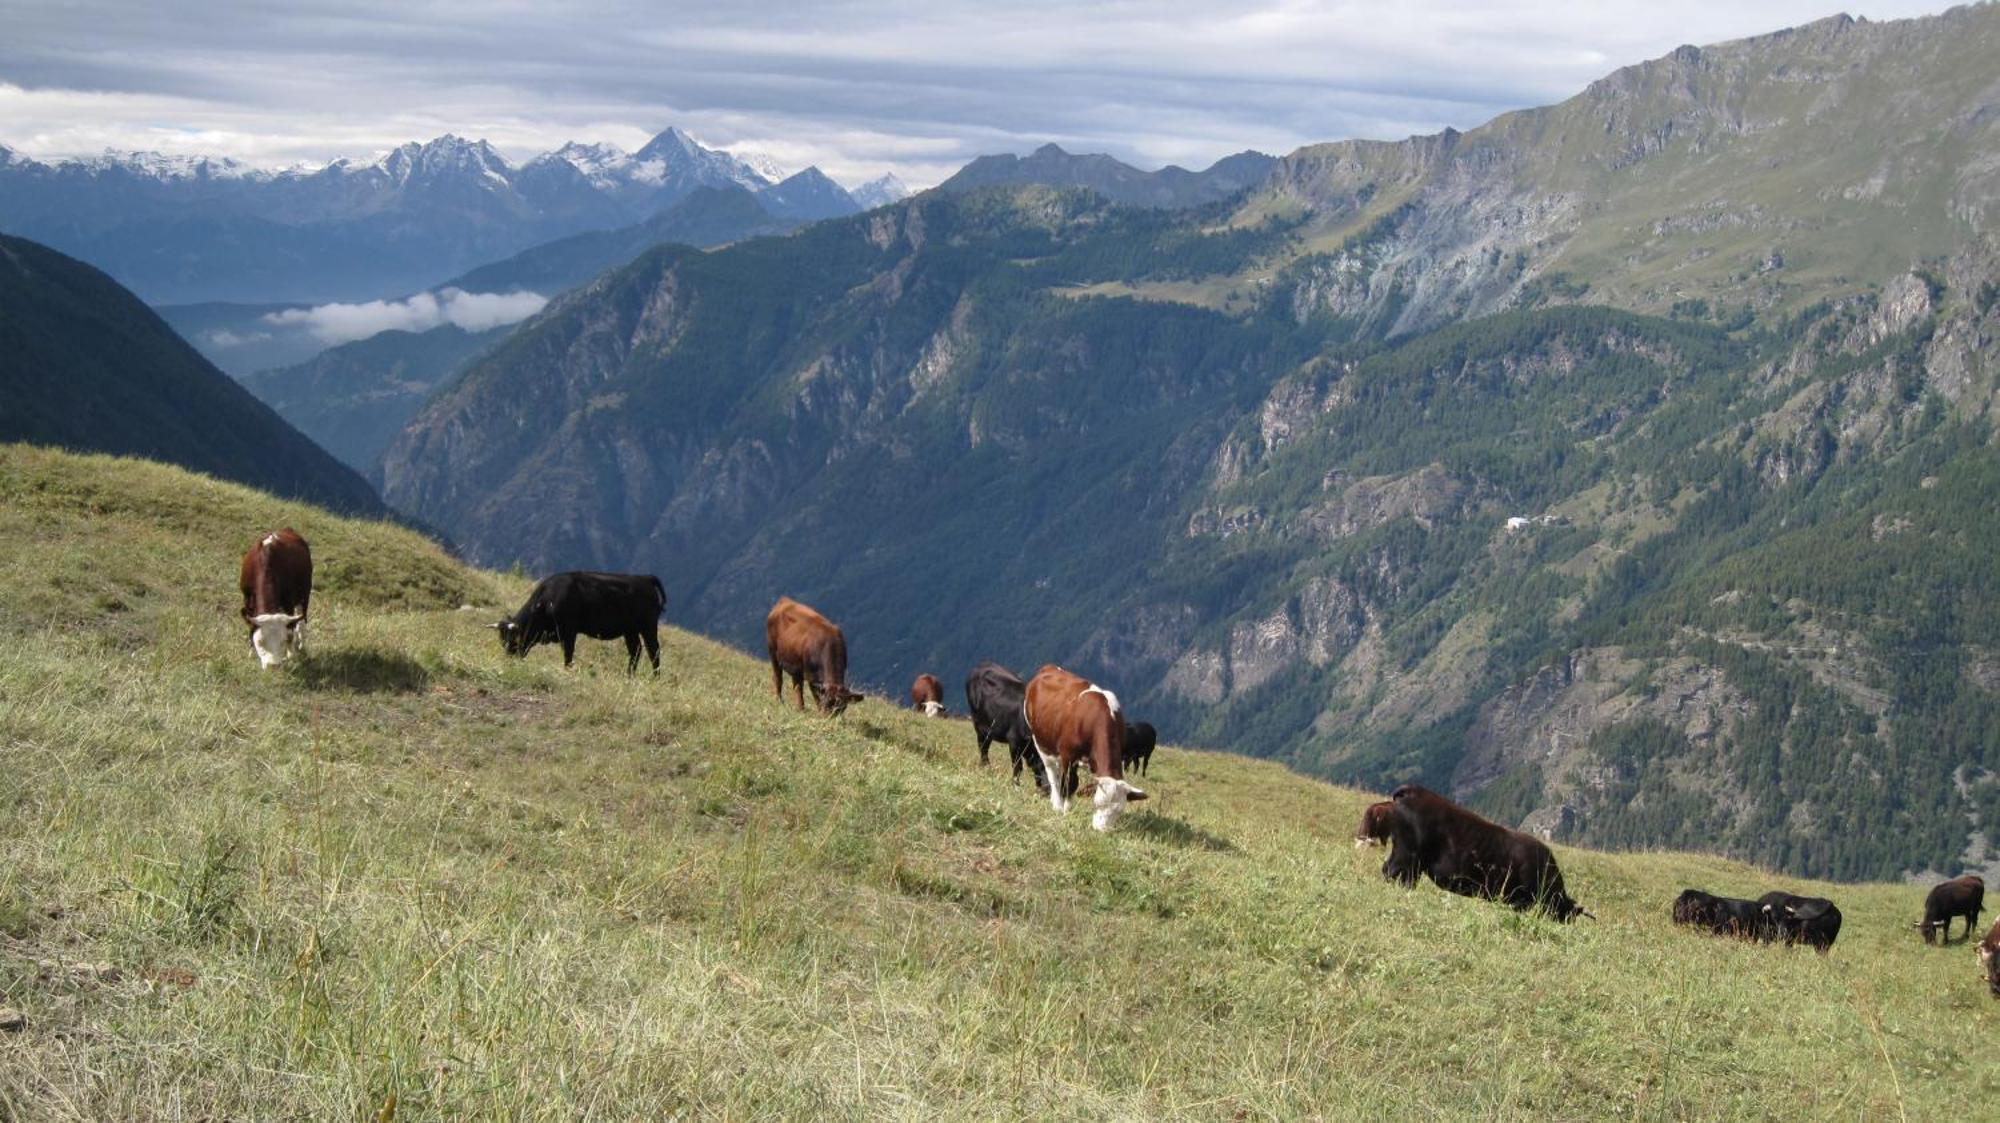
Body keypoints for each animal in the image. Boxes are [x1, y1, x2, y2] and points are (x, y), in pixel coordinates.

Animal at [239, 523, 312, 663]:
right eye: (260, 642)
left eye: (283, 641)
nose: (273, 665)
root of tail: (287, 529)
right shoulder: (247, 598)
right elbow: (250, 625)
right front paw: (251, 652)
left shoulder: (289, 601)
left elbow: (291, 630)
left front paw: (290, 655)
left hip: (305, 594)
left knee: (301, 619)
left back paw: (301, 644)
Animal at [496, 567, 668, 671]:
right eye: (502, 640)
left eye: (513, 637)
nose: (509, 658)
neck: (546, 603)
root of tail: (645, 578)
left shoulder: (568, 632)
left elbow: (568, 654)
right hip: (630, 631)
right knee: (636, 651)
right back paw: (629, 676)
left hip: (648, 627)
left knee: (654, 651)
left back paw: (655, 678)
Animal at [964, 659, 1056, 791]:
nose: (1048, 788)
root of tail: (983, 664)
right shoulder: (1014, 741)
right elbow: (1018, 767)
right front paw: (1015, 785)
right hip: (980, 727)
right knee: (983, 749)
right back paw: (986, 769)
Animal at [1024, 659, 1152, 827]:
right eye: (1097, 803)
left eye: (1119, 810)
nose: (1101, 830)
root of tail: (1049, 667)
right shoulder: (1068, 756)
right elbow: (1070, 784)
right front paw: (1066, 812)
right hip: (1040, 741)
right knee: (1052, 773)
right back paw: (1057, 803)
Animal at [1376, 779, 1592, 919]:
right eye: (1569, 914)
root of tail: (1408, 791)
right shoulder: (1520, 901)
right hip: (1407, 855)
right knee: (1393, 873)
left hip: (1407, 857)